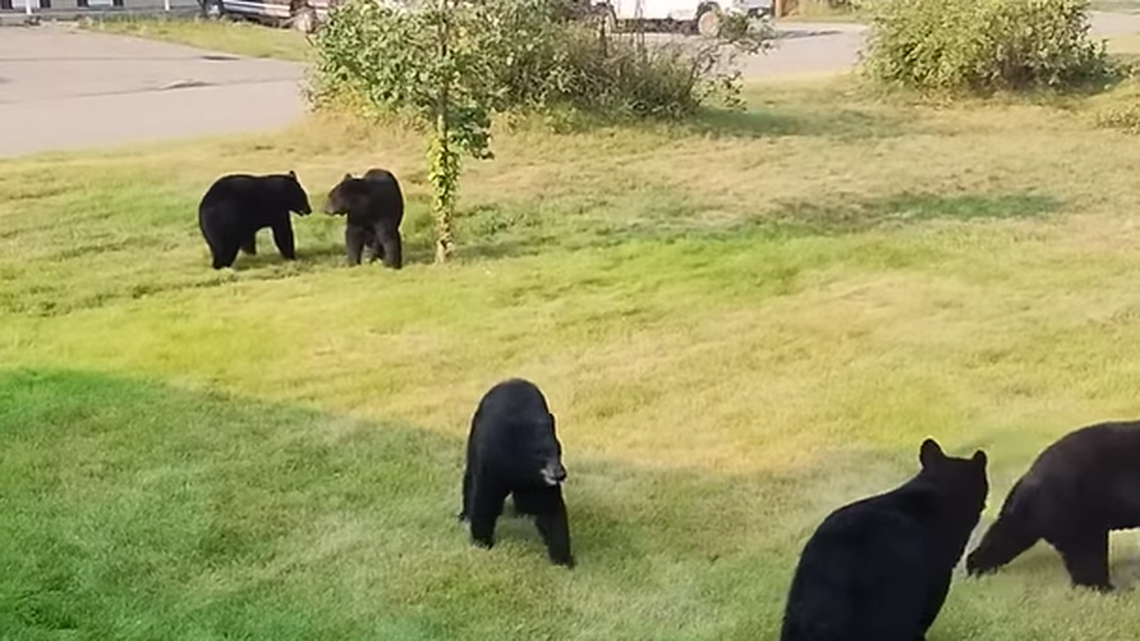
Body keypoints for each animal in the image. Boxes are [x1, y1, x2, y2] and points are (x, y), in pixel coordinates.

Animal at [457, 378, 574, 568]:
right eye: (539, 452)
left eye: (559, 449)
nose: (560, 474)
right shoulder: (493, 461)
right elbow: (485, 497)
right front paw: (482, 542)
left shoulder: (540, 482)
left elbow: (549, 507)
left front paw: (563, 559)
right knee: (470, 478)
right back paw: (465, 515)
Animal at [966, 420, 1140, 592]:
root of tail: (1030, 474)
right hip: (1074, 512)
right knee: (1086, 553)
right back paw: (1103, 587)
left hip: (1036, 513)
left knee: (1007, 533)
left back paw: (977, 568)